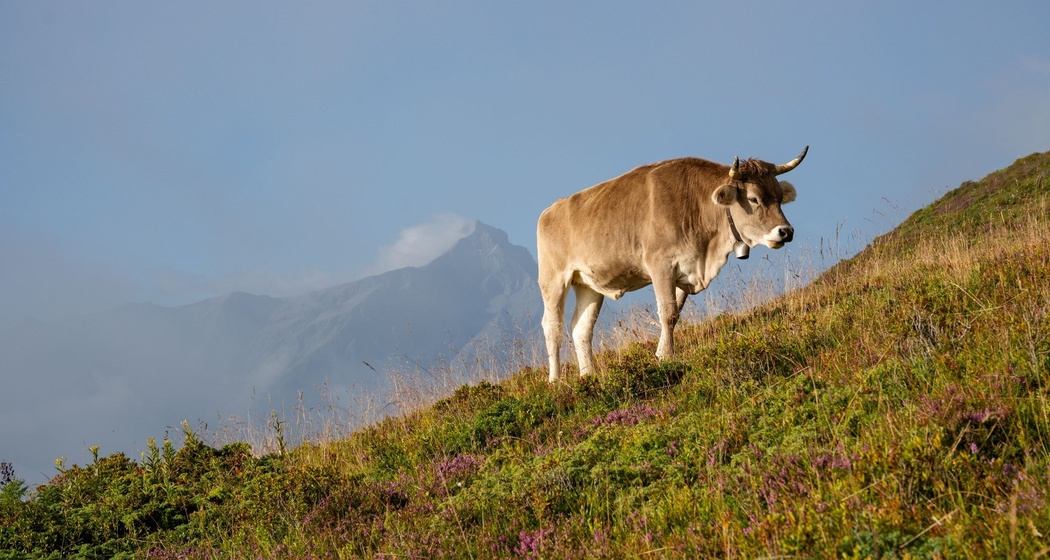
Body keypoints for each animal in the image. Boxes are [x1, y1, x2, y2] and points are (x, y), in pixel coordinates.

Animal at [537, 146, 808, 382]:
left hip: (588, 285)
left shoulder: (685, 270)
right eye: (753, 199)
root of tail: (552, 209)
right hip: (554, 280)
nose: (786, 231)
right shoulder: (660, 265)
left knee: (581, 329)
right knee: (552, 327)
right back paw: (555, 380)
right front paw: (667, 357)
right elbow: (666, 312)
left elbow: (675, 315)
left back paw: (589, 377)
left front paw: (660, 354)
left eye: (779, 197)